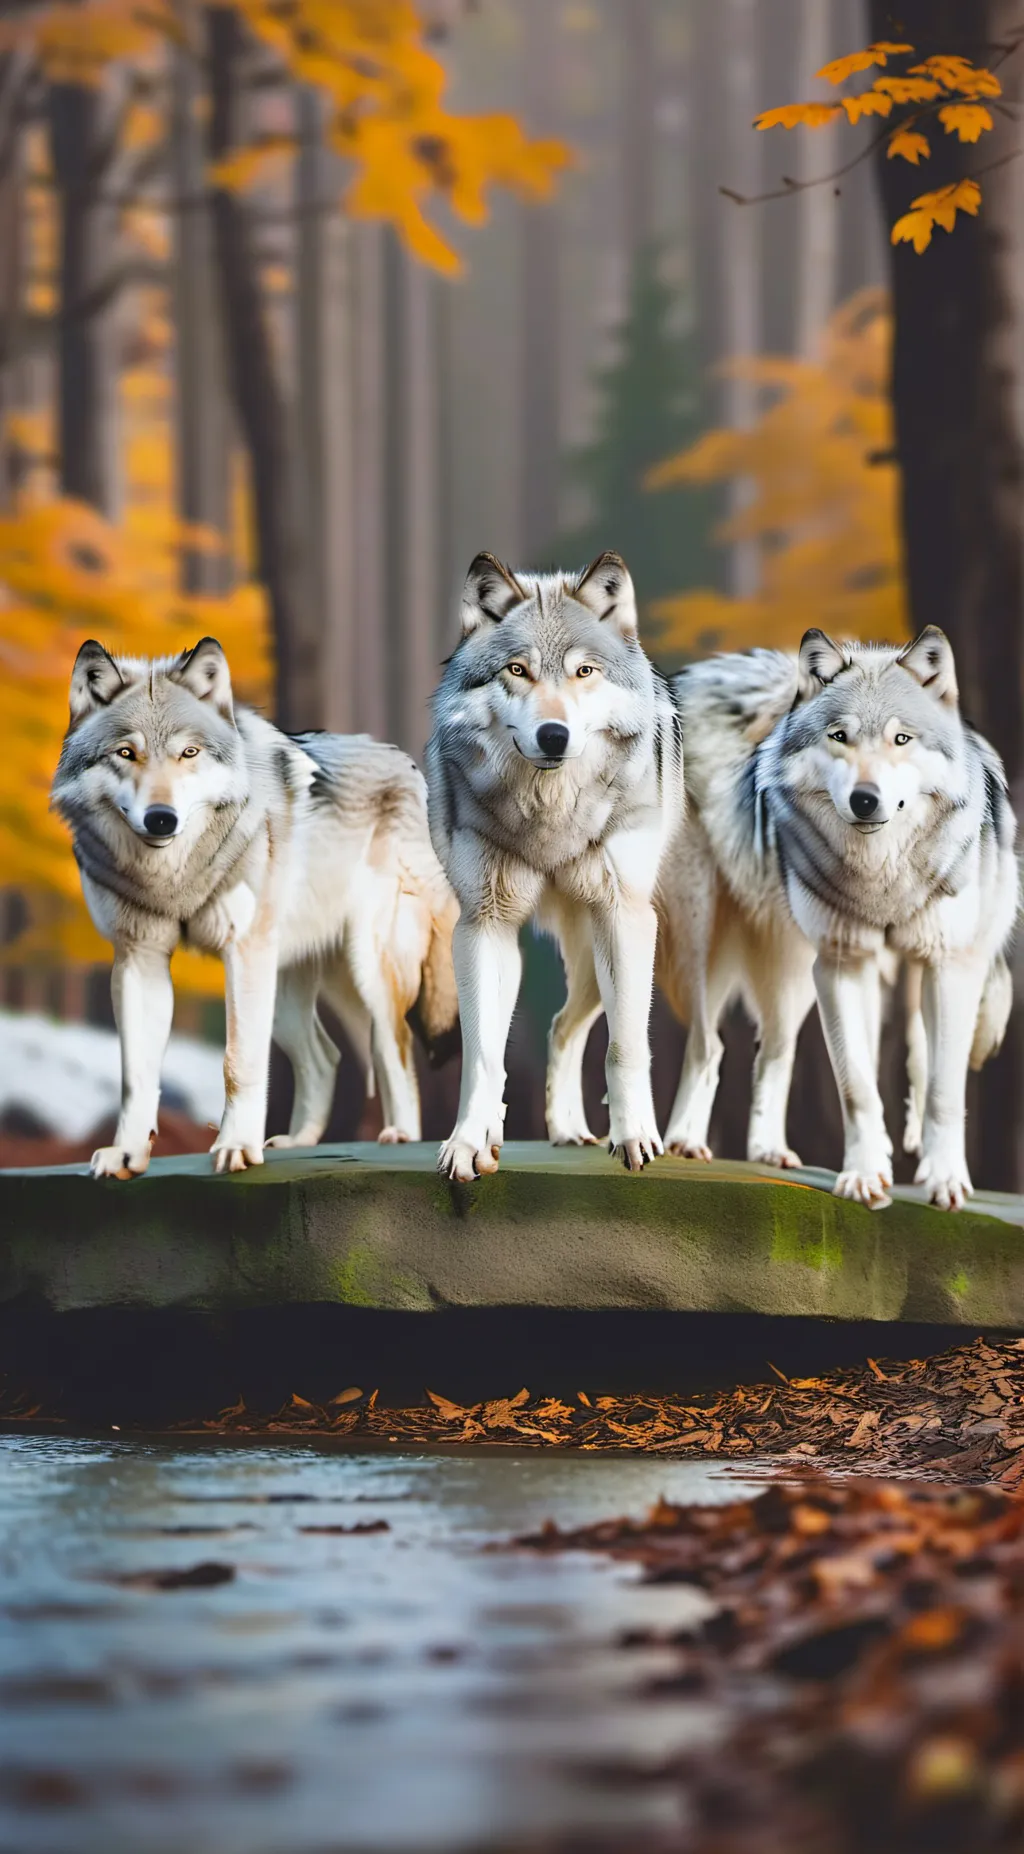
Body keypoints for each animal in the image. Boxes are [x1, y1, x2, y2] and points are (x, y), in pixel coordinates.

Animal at [52, 637, 459, 1178]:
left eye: (189, 752)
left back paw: (399, 1136)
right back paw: (298, 1142)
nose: (161, 819)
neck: (174, 878)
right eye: (126, 753)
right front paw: (126, 1153)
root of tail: (406, 763)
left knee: (395, 1046)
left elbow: (237, 1062)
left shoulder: (242, 954)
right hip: (286, 990)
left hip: (366, 965)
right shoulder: (139, 960)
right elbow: (135, 1074)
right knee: (326, 1056)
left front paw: (237, 1147)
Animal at [426, 551, 684, 1181]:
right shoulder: (483, 924)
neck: (550, 820)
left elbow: (625, 1047)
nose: (553, 735)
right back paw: (546, 1130)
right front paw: (468, 1142)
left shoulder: (624, 918)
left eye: (584, 672)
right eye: (517, 671)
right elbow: (484, 1054)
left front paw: (635, 1138)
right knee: (558, 1026)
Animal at [638, 626, 1017, 1210]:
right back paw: (684, 1143)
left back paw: (770, 1151)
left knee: (773, 1051)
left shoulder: (948, 965)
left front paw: (944, 1179)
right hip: (710, 942)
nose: (865, 800)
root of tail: (684, 679)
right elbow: (857, 1086)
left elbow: (939, 1084)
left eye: (901, 739)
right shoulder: (843, 964)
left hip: (795, 972)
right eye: (839, 736)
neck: (882, 877)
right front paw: (864, 1177)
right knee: (709, 1045)